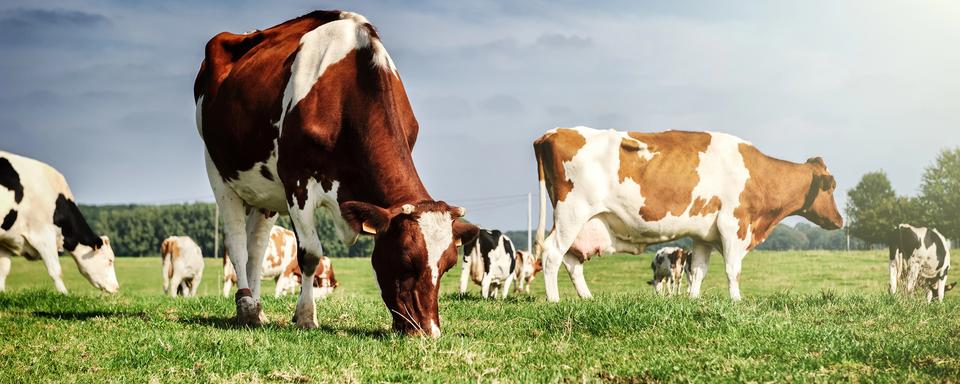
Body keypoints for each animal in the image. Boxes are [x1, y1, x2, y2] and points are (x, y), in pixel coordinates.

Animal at [0, 151, 119, 294]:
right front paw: (64, 294)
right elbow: (56, 271)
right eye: (110, 260)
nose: (117, 287)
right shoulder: (43, 236)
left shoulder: (6, 241)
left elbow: (3, 270)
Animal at [196, 11, 480, 336]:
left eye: (448, 265)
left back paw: (257, 309)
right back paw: (245, 306)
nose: (429, 332)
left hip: (265, 191)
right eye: (406, 259)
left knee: (256, 247)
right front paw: (306, 316)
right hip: (218, 171)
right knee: (237, 243)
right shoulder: (297, 182)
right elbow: (309, 254)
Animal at [536, 127, 844, 302]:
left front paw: (693, 300)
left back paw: (587, 298)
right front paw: (737, 301)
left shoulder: (704, 235)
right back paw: (554, 301)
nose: (840, 220)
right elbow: (733, 270)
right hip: (571, 213)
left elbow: (698, 271)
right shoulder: (733, 224)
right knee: (552, 254)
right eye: (831, 187)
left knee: (572, 261)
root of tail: (552, 133)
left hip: (582, 223)